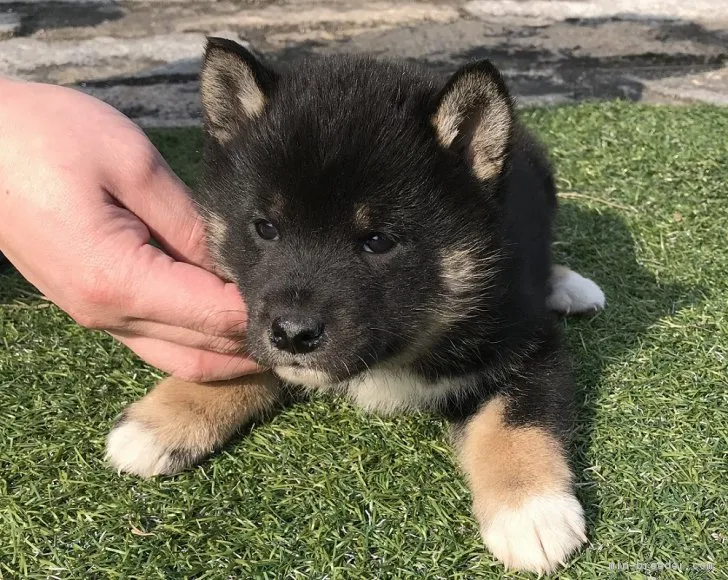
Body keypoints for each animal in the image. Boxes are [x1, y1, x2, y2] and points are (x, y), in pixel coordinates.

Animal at [106, 37, 604, 576]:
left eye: (378, 240)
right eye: (265, 227)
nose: (293, 334)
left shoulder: (529, 341)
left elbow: (518, 420)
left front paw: (531, 511)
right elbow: (242, 360)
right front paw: (163, 420)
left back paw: (572, 286)